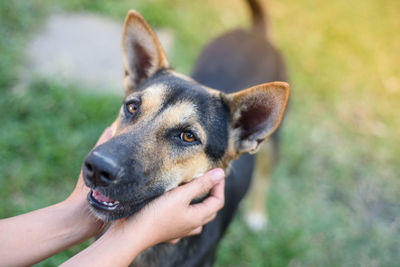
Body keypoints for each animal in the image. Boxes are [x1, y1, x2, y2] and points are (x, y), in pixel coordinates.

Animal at [82, 1, 288, 266]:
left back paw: (256, 214)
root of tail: (255, 34)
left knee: (264, 175)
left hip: (272, 146)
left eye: (188, 136)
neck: (148, 250)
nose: (97, 167)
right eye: (132, 106)